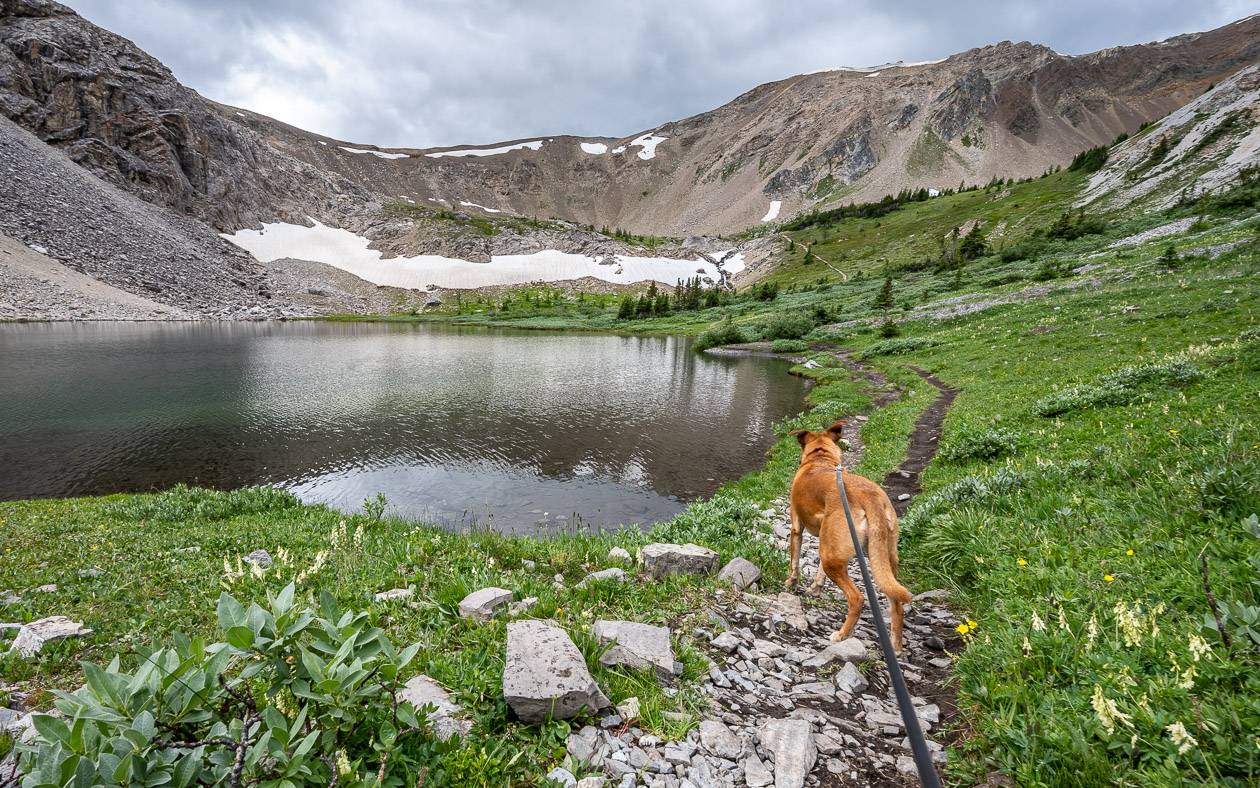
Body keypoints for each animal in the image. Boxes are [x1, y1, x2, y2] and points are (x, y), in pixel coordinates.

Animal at [781, 421, 912, 650]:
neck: (820, 458)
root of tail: (870, 497)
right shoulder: (827, 539)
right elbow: (819, 572)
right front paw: (816, 588)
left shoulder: (797, 527)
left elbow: (794, 562)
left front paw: (791, 583)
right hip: (885, 559)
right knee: (896, 603)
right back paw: (895, 646)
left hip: (832, 559)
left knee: (857, 598)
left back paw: (842, 634)